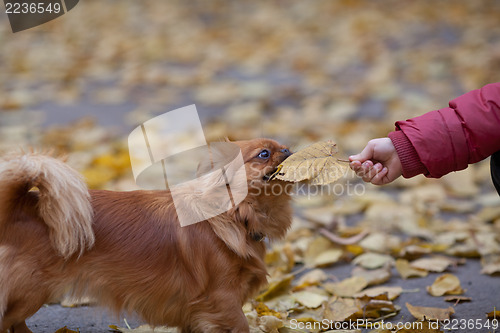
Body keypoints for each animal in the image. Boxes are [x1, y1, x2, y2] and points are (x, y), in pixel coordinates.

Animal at [0, 138, 292, 332]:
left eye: (282, 146)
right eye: (264, 154)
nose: (288, 149)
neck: (231, 214)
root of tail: (19, 206)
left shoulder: (195, 311)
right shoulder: (222, 299)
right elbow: (241, 324)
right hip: (31, 291)